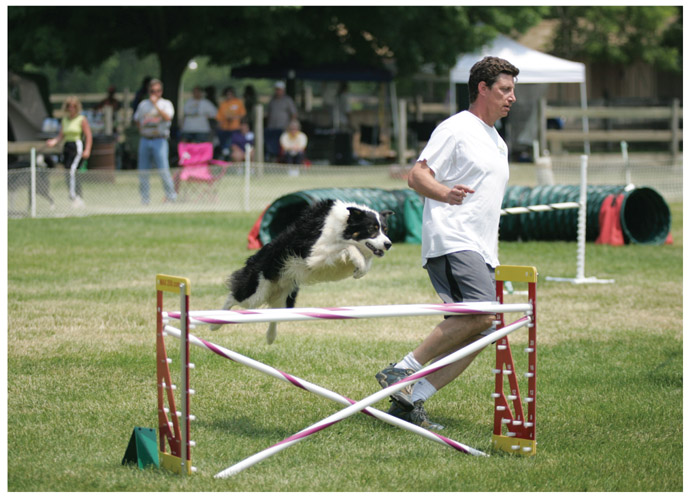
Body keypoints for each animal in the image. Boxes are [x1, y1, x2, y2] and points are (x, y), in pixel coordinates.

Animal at [210, 199, 392, 344]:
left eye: (385, 229)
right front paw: (358, 265)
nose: (388, 244)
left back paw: (270, 337)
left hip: (286, 298)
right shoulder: (314, 254)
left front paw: (360, 269)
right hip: (256, 292)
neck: (343, 226)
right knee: (233, 297)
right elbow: (348, 247)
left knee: (273, 314)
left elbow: (363, 259)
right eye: (372, 229)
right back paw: (215, 323)